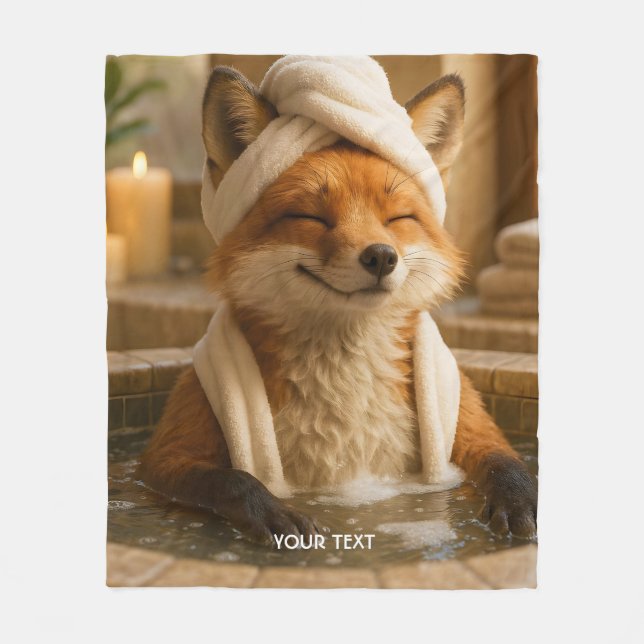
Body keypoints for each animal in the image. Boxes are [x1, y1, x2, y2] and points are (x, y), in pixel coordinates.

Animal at [138, 65, 538, 544]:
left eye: (397, 218)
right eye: (311, 217)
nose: (381, 257)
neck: (345, 405)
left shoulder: (469, 423)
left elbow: (508, 464)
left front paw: (520, 501)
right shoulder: (167, 455)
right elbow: (233, 480)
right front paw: (272, 512)